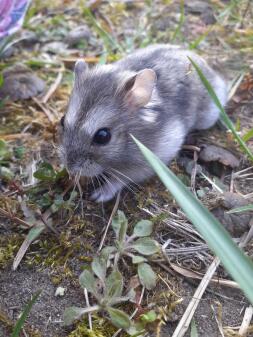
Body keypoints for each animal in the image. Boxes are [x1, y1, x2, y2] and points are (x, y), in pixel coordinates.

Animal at [58, 44, 227, 202]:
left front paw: (98, 195)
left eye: (103, 136)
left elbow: (120, 179)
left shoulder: (146, 165)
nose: (70, 168)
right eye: (62, 120)